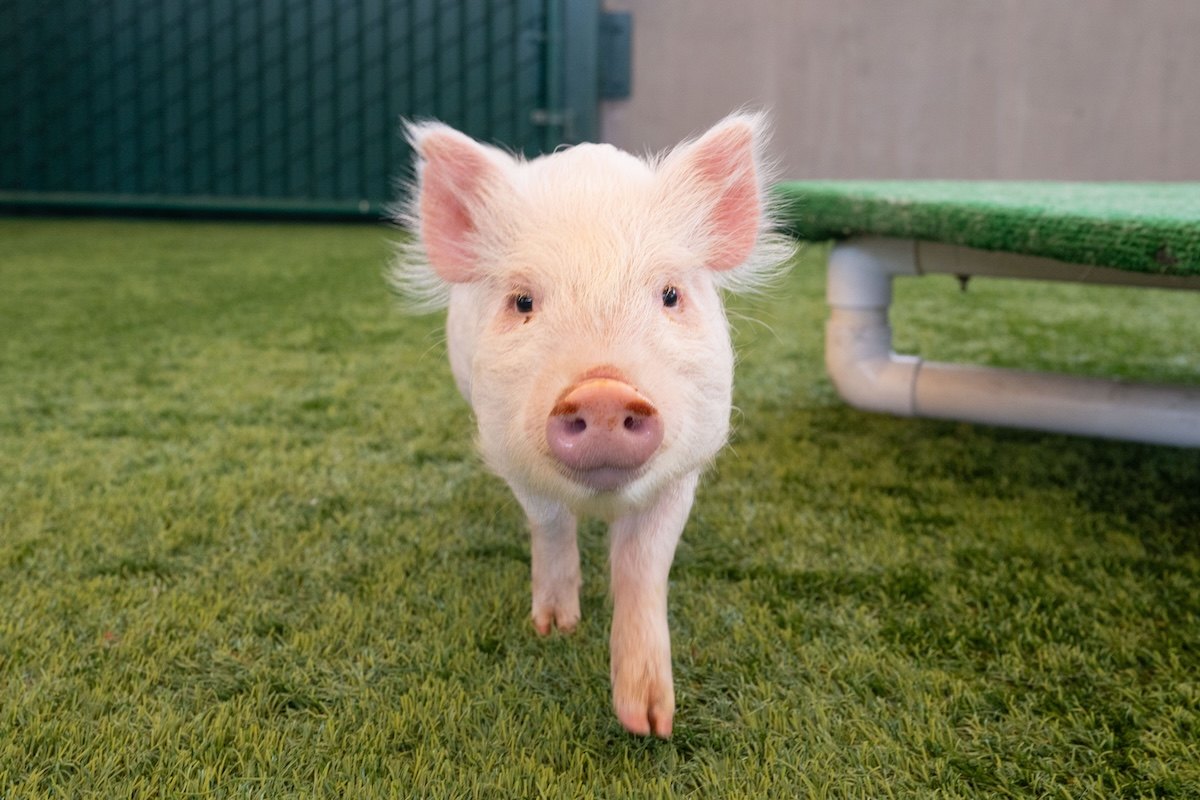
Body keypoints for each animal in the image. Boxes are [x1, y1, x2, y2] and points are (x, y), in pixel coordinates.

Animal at [393, 113, 792, 738]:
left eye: (669, 295)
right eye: (523, 301)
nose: (603, 392)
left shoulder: (685, 468)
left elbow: (643, 563)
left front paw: (650, 722)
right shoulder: (512, 457)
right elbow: (551, 524)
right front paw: (555, 631)